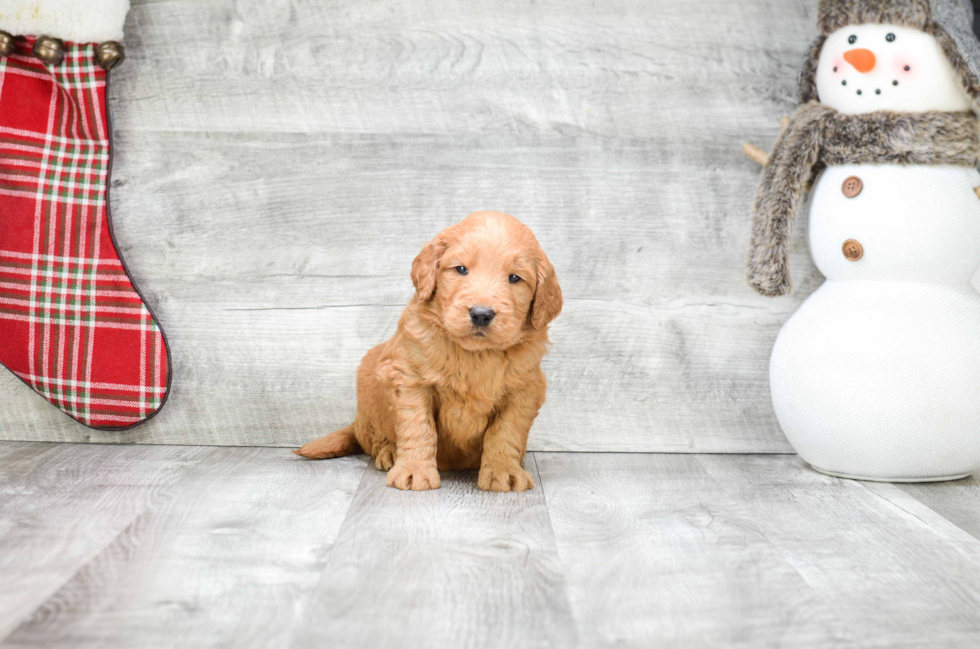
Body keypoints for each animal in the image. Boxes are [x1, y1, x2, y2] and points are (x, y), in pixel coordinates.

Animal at [292, 213, 560, 492]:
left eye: (515, 278)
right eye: (461, 269)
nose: (481, 314)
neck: (475, 355)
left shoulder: (523, 391)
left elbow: (506, 432)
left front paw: (503, 470)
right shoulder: (409, 378)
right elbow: (418, 427)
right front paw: (414, 470)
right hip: (369, 384)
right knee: (374, 437)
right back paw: (389, 452)